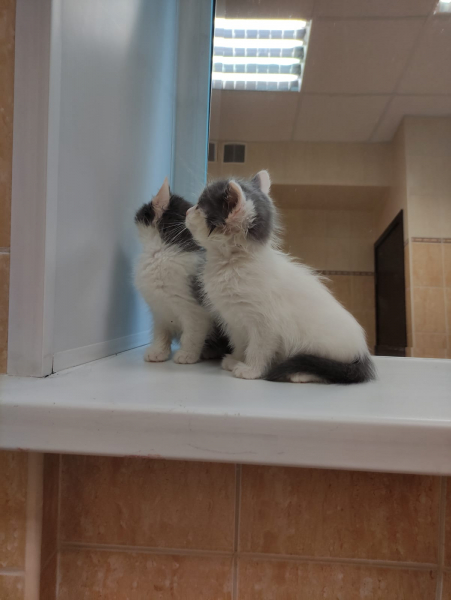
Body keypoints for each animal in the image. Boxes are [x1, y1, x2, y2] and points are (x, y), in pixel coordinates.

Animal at [134, 177, 229, 364]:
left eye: (144, 209)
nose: (137, 212)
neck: (163, 253)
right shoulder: (159, 310)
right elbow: (160, 332)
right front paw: (158, 352)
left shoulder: (195, 310)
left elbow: (192, 334)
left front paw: (187, 354)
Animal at [185, 170, 375, 384]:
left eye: (199, 206)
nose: (187, 211)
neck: (232, 264)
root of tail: (362, 353)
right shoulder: (235, 321)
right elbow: (241, 343)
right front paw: (236, 360)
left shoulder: (266, 325)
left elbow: (258, 348)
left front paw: (251, 370)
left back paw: (300, 374)